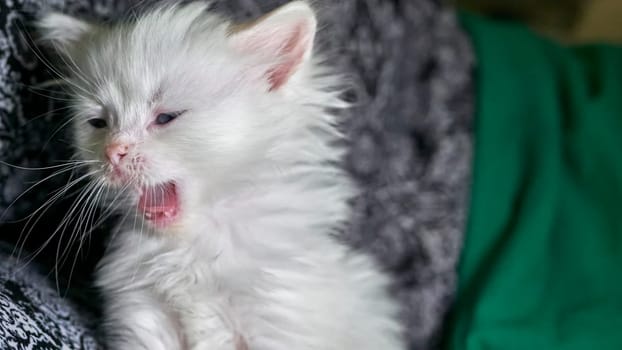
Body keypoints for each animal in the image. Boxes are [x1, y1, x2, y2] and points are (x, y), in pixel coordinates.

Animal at [37, 2, 404, 350]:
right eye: (99, 123)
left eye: (166, 117)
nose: (113, 152)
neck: (192, 248)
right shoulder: (145, 314)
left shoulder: (278, 319)